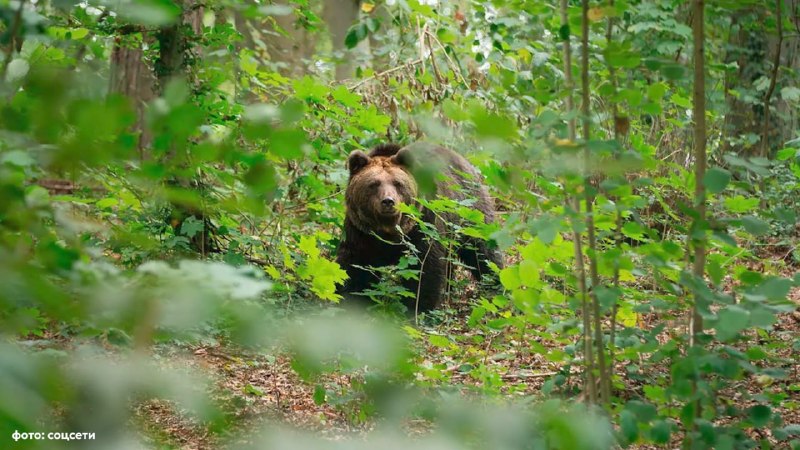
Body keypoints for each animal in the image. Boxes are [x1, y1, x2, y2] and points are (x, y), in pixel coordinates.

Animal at [335, 142, 503, 314]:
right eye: (373, 184)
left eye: (398, 183)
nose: (388, 201)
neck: (388, 232)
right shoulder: (361, 233)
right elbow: (354, 269)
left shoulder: (423, 226)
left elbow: (425, 270)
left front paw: (416, 308)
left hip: (470, 210)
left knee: (483, 252)